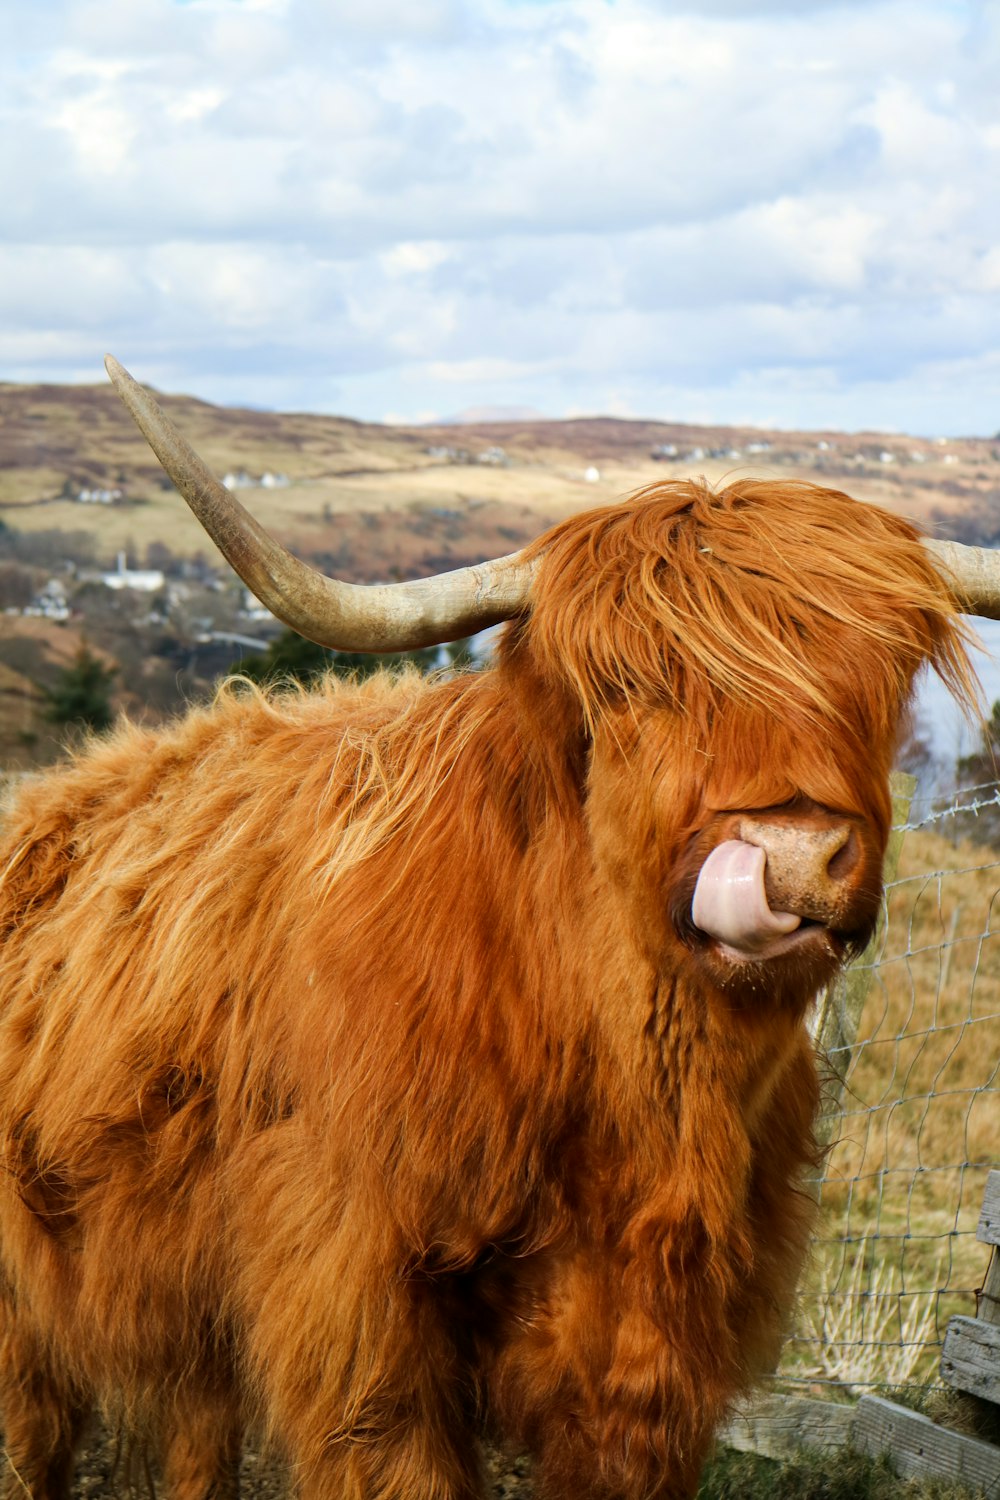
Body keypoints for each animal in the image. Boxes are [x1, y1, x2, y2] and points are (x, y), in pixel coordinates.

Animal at [0, 366, 989, 1500]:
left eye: (880, 681)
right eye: (626, 689)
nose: (791, 853)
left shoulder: (666, 1349)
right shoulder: (359, 1315)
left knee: (195, 1431)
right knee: (38, 1427)